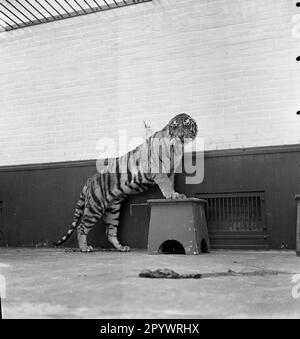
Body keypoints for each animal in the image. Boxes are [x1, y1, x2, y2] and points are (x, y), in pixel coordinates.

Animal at [54, 113, 198, 252]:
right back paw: (85, 248)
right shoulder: (158, 168)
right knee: (81, 227)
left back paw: (121, 248)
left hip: (113, 210)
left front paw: (175, 195)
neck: (177, 148)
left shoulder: (171, 171)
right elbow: (166, 184)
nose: (180, 136)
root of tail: (90, 179)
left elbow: (170, 183)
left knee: (110, 231)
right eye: (174, 126)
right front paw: (172, 195)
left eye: (186, 125)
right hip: (95, 207)